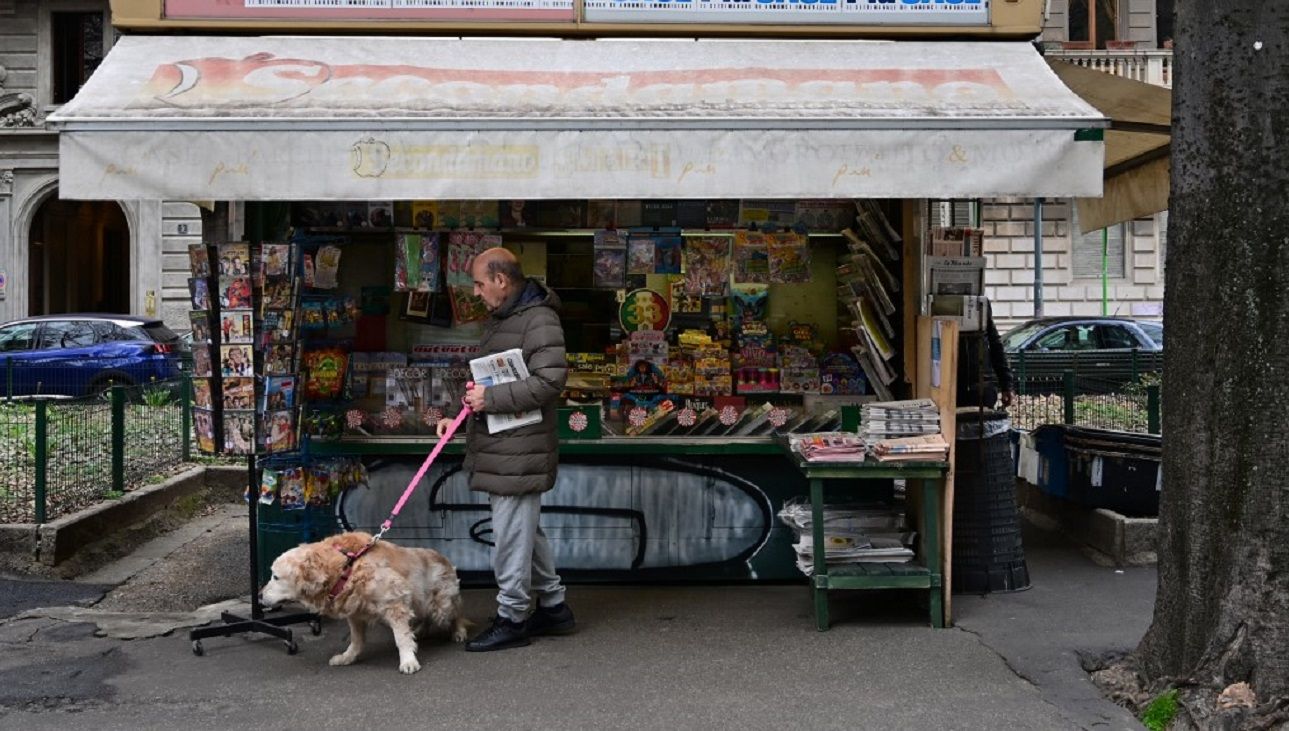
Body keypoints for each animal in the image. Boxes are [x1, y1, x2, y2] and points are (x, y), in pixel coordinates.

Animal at [261, 531, 469, 675]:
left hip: (442, 605)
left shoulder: (395, 603)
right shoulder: (355, 613)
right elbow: (356, 641)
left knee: (456, 611)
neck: (347, 567)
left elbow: (401, 639)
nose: (259, 595)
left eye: (275, 577)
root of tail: (442, 556)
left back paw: (459, 631)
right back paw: (420, 631)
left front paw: (408, 661)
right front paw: (347, 657)